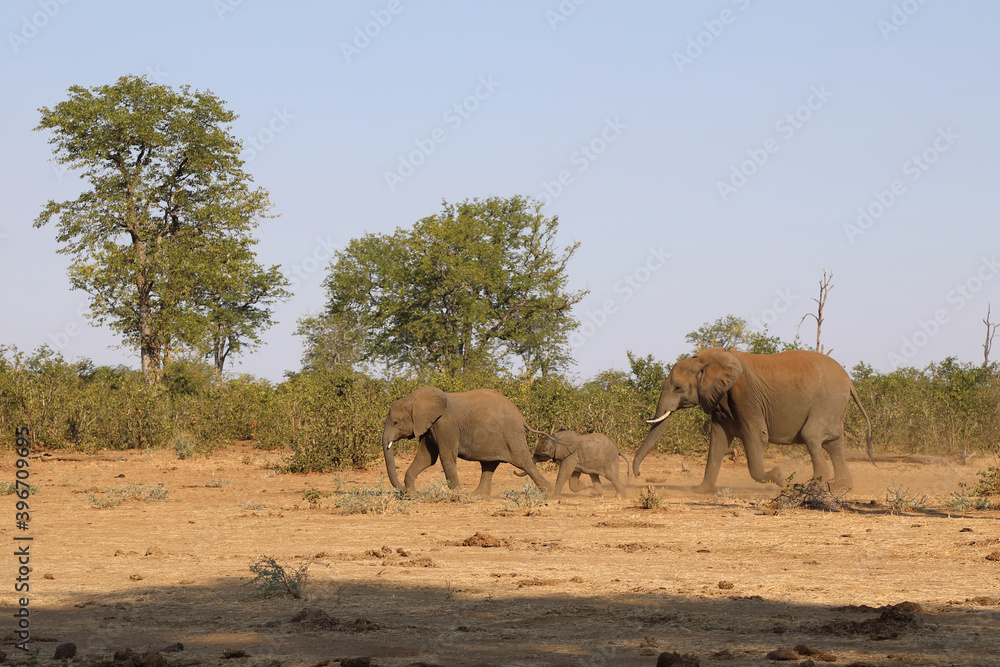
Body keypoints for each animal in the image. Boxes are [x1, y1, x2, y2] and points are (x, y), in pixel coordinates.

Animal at [381, 385, 552, 497]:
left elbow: (446, 457)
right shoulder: (429, 427)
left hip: (512, 434)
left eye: (395, 422)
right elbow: (426, 458)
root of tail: (521, 417)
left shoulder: (445, 425)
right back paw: (477, 496)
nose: (402, 490)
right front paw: (412, 495)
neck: (413, 399)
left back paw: (550, 493)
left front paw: (457, 494)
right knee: (489, 465)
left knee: (523, 462)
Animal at [632, 348, 873, 494]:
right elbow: (718, 440)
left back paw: (814, 485)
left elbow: (756, 436)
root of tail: (849, 381)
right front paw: (701, 491)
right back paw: (841, 486)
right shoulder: (720, 399)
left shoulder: (745, 397)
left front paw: (779, 477)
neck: (707, 359)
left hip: (828, 400)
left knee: (812, 436)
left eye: (678, 388)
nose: (638, 475)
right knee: (833, 443)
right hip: (834, 406)